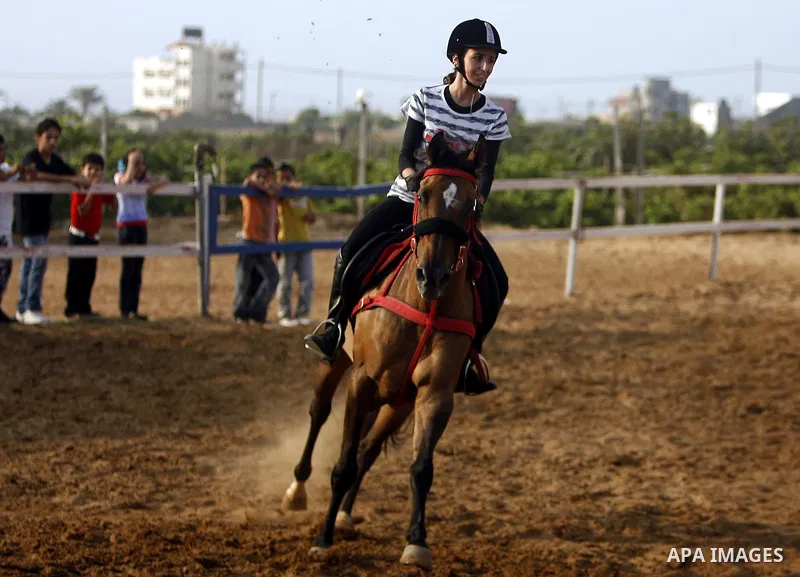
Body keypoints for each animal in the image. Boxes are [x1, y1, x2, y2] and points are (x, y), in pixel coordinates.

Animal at [284, 131, 489, 570]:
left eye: (471, 202)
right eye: (423, 193)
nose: (433, 276)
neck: (424, 306)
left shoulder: (433, 395)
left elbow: (421, 467)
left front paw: (417, 542)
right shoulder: (361, 381)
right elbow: (342, 464)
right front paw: (322, 539)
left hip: (399, 401)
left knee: (368, 448)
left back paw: (345, 514)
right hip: (338, 362)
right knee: (319, 413)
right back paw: (297, 491)